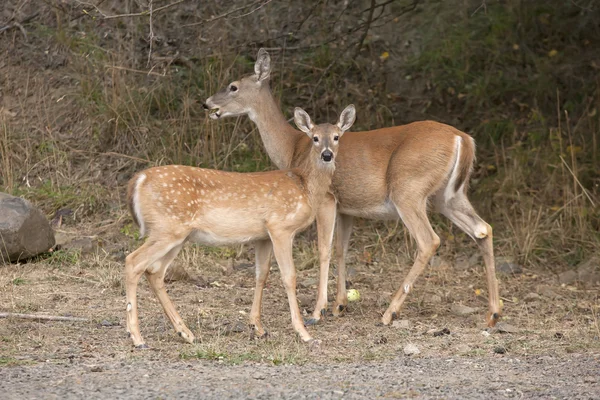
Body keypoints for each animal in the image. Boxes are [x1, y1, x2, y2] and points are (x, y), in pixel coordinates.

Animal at [124, 104, 354, 348]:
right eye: (315, 138)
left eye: (337, 137)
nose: (327, 155)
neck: (305, 188)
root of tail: (137, 180)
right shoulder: (280, 227)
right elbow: (289, 277)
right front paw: (303, 332)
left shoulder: (263, 236)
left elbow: (261, 275)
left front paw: (258, 328)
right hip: (166, 229)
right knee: (133, 262)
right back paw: (137, 337)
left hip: (177, 235)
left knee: (155, 272)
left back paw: (185, 332)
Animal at [205, 47, 502, 328]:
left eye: (233, 86)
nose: (207, 103)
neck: (292, 147)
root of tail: (463, 138)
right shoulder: (347, 208)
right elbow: (341, 249)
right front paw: (340, 305)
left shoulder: (326, 197)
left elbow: (323, 249)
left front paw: (318, 311)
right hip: (448, 195)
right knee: (483, 229)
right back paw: (493, 313)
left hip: (408, 189)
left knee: (429, 240)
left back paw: (389, 313)